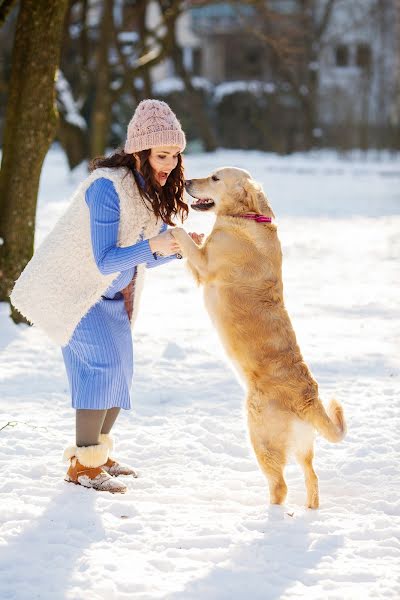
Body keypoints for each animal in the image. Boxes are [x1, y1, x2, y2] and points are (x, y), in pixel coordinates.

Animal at [172, 166, 346, 508]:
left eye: (215, 178)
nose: (186, 182)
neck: (248, 216)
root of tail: (309, 398)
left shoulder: (205, 264)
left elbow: (183, 235)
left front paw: (171, 226)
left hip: (260, 436)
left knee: (280, 486)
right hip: (302, 447)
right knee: (312, 477)